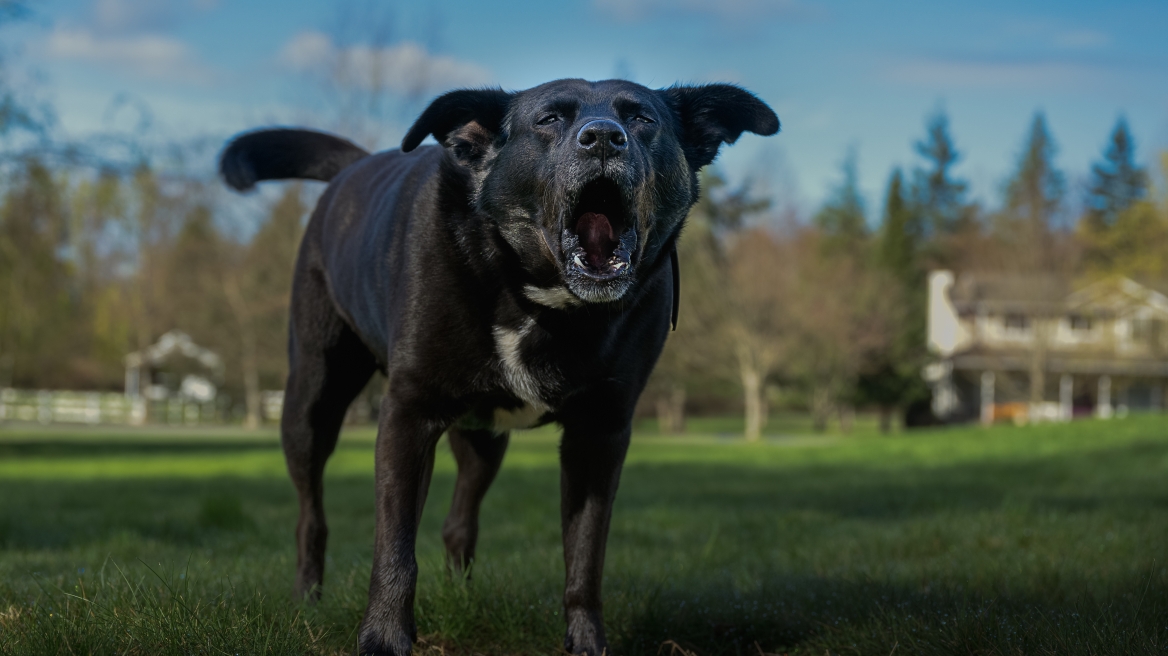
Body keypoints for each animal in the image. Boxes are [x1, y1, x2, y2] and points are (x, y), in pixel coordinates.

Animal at [223, 79, 780, 648]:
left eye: (643, 119)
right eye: (550, 119)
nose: (604, 137)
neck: (540, 299)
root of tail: (355, 168)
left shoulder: (600, 434)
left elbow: (585, 554)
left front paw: (587, 642)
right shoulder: (408, 413)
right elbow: (395, 546)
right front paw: (383, 638)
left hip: (483, 439)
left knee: (458, 521)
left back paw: (461, 595)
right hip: (312, 400)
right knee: (311, 514)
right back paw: (307, 598)